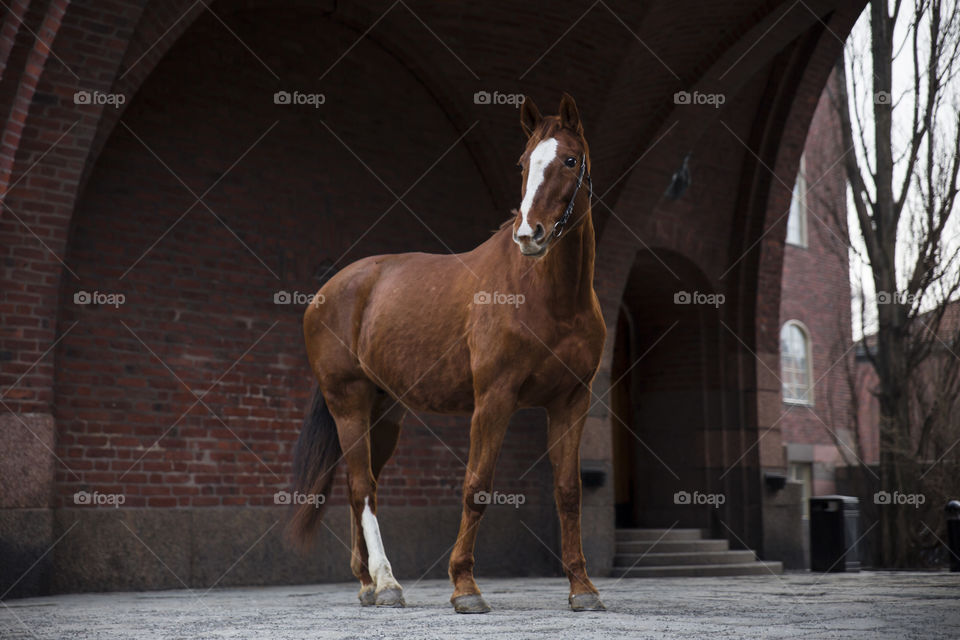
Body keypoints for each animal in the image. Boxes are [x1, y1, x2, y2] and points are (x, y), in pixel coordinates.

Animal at [292, 92, 604, 612]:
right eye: (524, 162)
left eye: (570, 160)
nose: (529, 235)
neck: (548, 297)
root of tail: (329, 290)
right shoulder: (494, 399)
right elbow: (477, 486)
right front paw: (465, 587)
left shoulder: (572, 401)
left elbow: (568, 491)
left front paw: (582, 588)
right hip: (348, 403)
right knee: (363, 487)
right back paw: (387, 583)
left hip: (384, 413)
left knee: (361, 486)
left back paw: (366, 582)